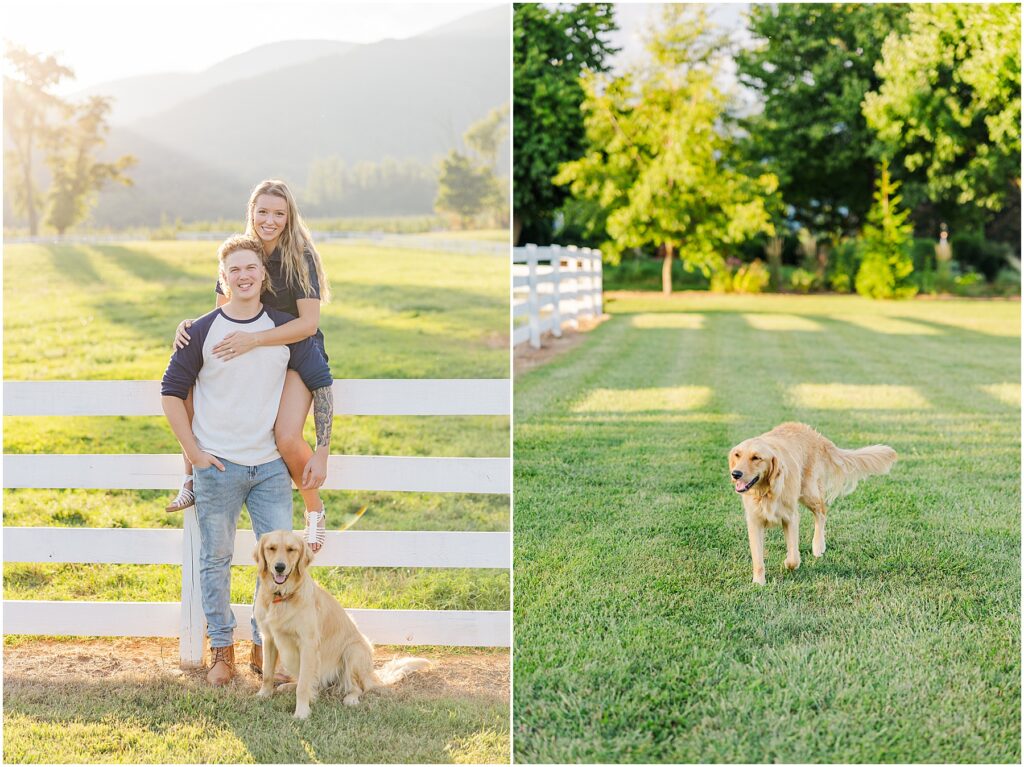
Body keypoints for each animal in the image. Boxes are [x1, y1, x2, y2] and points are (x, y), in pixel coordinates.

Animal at [258, 528, 434, 716]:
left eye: (291, 549)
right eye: (271, 548)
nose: (280, 567)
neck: (282, 596)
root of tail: (372, 675)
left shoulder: (308, 643)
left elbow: (304, 685)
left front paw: (302, 713)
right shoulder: (268, 638)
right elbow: (267, 672)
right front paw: (263, 694)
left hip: (353, 652)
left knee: (359, 687)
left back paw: (350, 698)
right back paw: (289, 686)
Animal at [729, 421, 897, 581]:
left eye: (756, 458)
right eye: (737, 455)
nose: (735, 474)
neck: (767, 490)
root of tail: (815, 434)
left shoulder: (790, 517)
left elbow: (793, 557)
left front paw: (788, 563)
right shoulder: (754, 521)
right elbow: (758, 557)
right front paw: (759, 582)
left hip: (808, 492)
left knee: (822, 511)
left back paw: (818, 546)